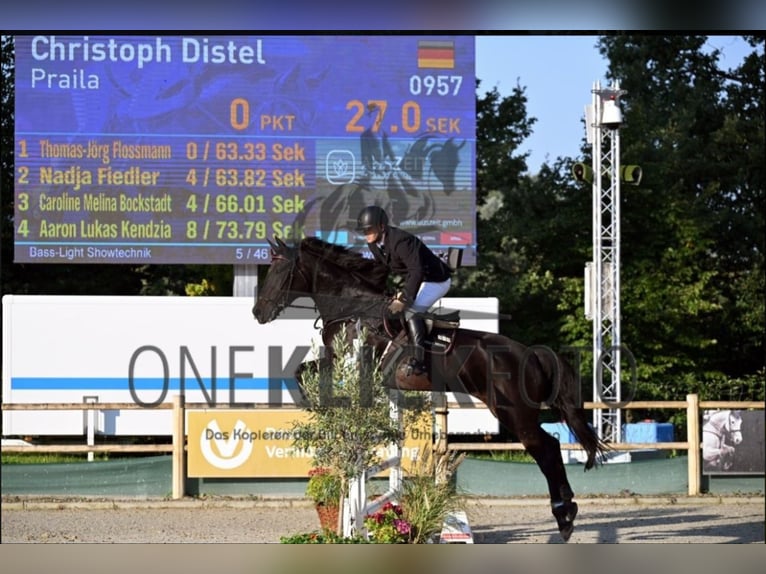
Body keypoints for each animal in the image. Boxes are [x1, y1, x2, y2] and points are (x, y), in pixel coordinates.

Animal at [255, 236, 608, 544]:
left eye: (279, 272)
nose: (258, 313)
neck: (353, 307)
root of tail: (531, 353)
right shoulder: (338, 360)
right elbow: (302, 370)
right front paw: (316, 404)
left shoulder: (356, 360)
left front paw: (320, 406)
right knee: (551, 446)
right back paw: (567, 512)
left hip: (513, 412)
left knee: (546, 448)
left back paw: (564, 516)